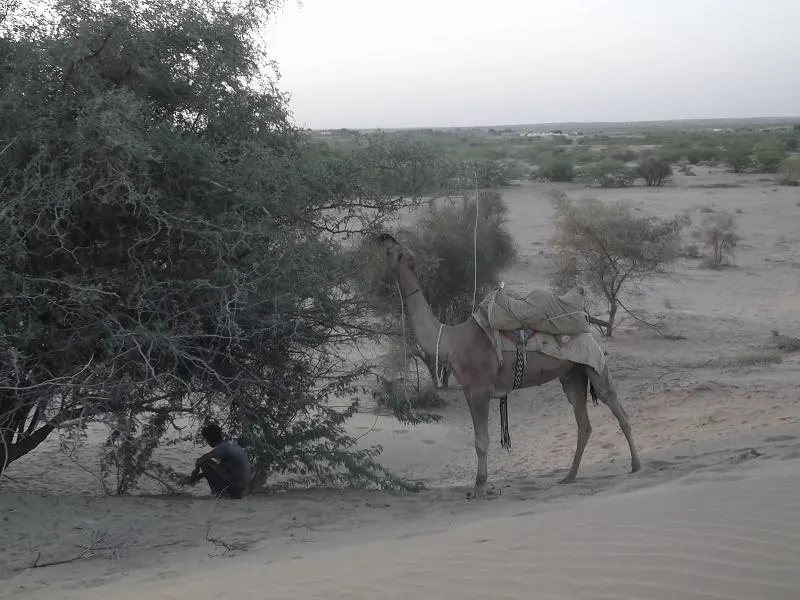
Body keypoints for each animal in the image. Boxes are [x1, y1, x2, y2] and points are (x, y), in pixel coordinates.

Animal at [377, 233, 641, 498]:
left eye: (393, 251)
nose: (383, 237)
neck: (451, 340)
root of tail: (588, 325)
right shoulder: (468, 391)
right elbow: (480, 439)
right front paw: (480, 486)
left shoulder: (480, 389)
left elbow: (481, 442)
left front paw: (480, 488)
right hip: (572, 373)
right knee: (583, 422)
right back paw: (569, 476)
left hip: (595, 363)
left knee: (617, 409)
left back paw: (635, 465)